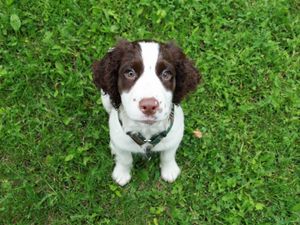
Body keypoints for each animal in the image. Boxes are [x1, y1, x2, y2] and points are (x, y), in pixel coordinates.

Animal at [92, 39, 200, 185]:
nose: (149, 106)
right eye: (130, 73)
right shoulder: (120, 140)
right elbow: (125, 158)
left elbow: (168, 155)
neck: (147, 130)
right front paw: (122, 174)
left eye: (166, 74)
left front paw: (169, 170)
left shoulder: (174, 136)